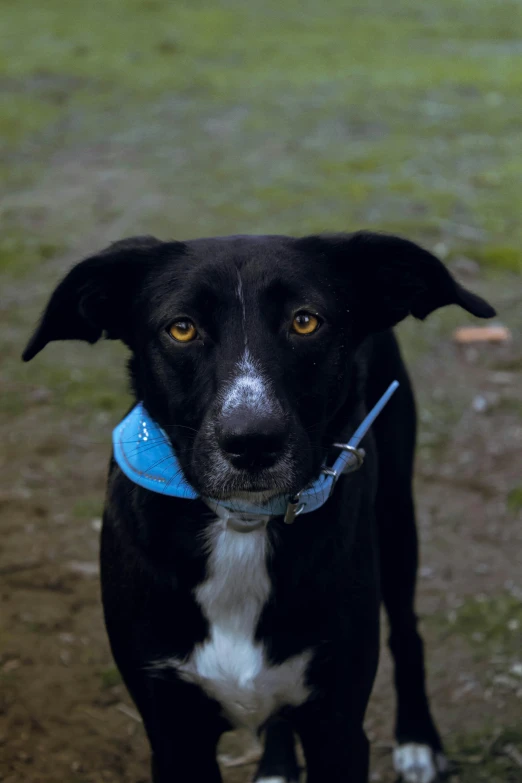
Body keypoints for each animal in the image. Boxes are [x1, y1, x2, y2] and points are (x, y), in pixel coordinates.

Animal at [22, 234, 494, 783]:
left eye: (305, 321)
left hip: (397, 517)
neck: (242, 525)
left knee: (407, 631)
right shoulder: (173, 733)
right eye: (181, 328)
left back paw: (418, 740)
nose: (252, 442)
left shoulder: (338, 728)